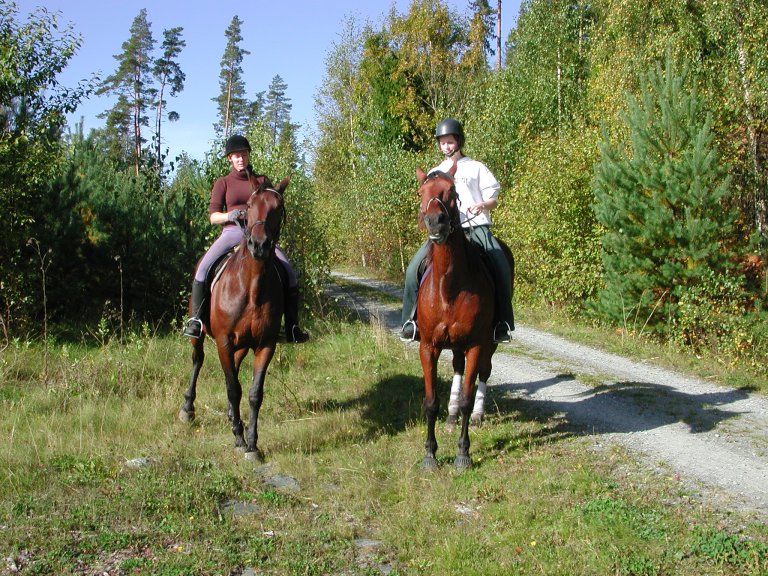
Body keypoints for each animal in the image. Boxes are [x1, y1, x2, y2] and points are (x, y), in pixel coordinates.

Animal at [180, 173, 292, 462]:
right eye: (249, 206)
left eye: (278, 209)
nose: (260, 245)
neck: (252, 288)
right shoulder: (223, 340)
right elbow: (233, 388)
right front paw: (239, 439)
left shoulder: (265, 344)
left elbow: (253, 393)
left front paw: (252, 444)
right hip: (203, 336)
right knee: (198, 360)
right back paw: (187, 409)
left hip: (241, 344)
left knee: (236, 369)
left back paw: (233, 415)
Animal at [412, 164, 512, 470]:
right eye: (421, 192)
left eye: (452, 190)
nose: (435, 222)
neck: (450, 286)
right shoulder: (428, 346)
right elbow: (430, 401)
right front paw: (430, 454)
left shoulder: (477, 344)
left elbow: (469, 395)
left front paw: (463, 454)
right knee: (457, 367)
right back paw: (451, 415)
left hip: (489, 342)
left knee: (484, 372)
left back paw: (476, 416)